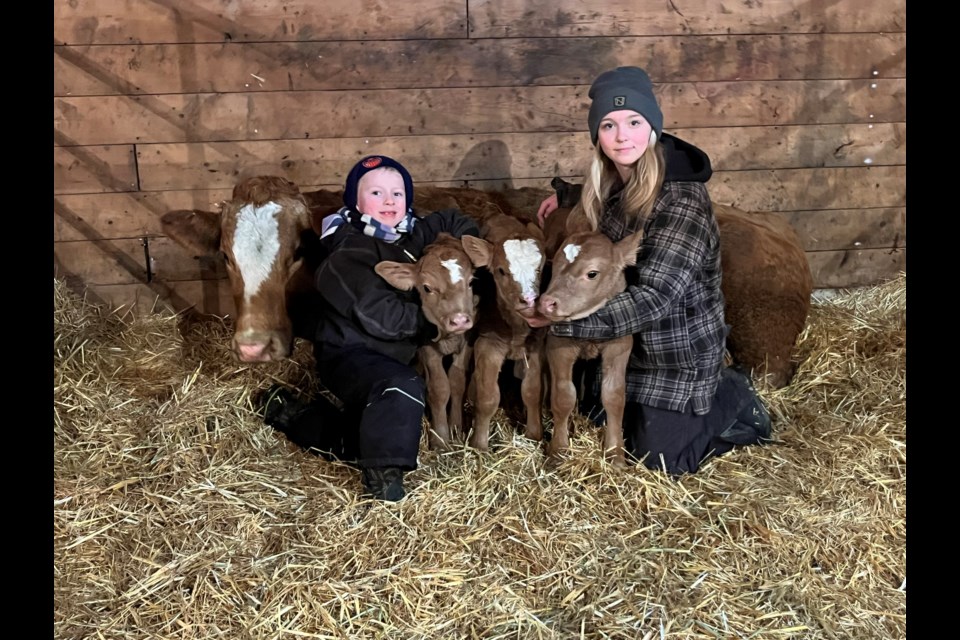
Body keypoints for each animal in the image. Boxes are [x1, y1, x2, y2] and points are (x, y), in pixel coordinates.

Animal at [376, 232, 480, 448]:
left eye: (471, 282)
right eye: (426, 288)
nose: (459, 320)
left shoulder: (467, 342)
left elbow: (457, 382)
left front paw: (456, 427)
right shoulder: (427, 348)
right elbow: (440, 388)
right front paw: (440, 438)